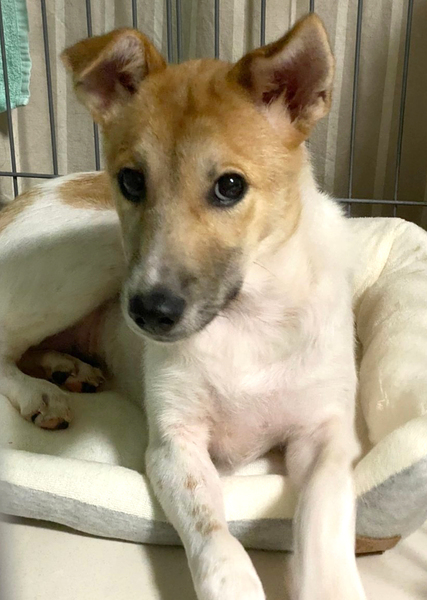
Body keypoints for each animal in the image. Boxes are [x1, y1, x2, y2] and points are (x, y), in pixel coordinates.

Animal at [0, 14, 367, 600]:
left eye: (230, 186)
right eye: (130, 180)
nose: (149, 314)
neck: (245, 317)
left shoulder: (327, 434)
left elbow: (324, 520)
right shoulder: (175, 445)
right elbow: (216, 536)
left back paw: (66, 369)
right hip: (93, 259)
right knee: (4, 348)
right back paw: (41, 393)